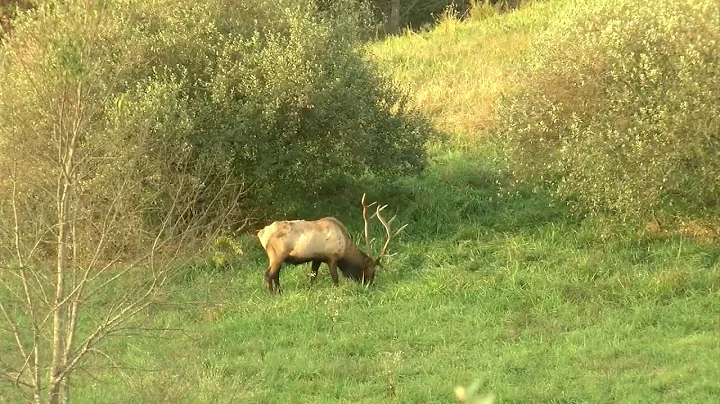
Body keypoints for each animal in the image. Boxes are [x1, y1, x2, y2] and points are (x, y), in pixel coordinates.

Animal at [258, 193, 404, 292]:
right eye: (371, 270)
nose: (370, 285)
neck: (345, 247)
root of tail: (261, 233)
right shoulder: (332, 258)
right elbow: (335, 279)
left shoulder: (317, 258)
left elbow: (313, 276)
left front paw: (309, 289)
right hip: (277, 254)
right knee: (268, 275)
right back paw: (272, 294)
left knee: (275, 275)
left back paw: (280, 291)